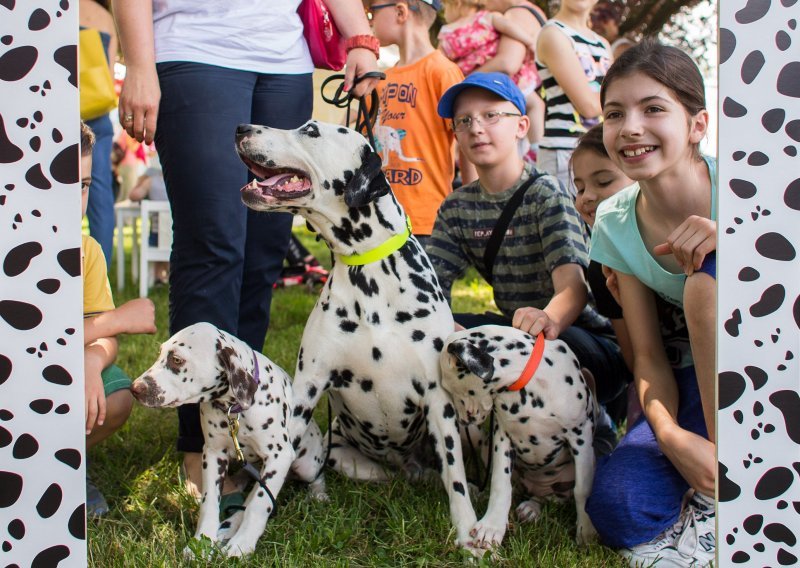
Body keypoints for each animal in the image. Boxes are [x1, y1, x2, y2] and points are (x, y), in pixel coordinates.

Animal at [133, 322, 326, 556]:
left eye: (177, 360)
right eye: (160, 353)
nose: (135, 388)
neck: (234, 409)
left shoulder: (279, 456)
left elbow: (259, 503)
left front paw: (242, 543)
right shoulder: (213, 454)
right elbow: (209, 503)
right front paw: (202, 542)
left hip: (307, 465)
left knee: (314, 476)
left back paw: (318, 494)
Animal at [233, 121, 482, 556]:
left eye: (310, 130)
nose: (241, 127)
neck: (369, 272)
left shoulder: (439, 400)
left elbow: (455, 477)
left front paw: (468, 531)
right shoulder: (306, 391)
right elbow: (269, 478)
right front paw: (242, 535)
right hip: (345, 457)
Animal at [438, 324, 600, 552]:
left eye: (452, 388)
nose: (463, 421)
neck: (529, 386)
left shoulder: (581, 436)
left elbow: (583, 489)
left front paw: (586, 531)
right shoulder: (502, 437)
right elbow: (500, 484)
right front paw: (492, 526)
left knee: (549, 498)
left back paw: (532, 508)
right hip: (487, 450)